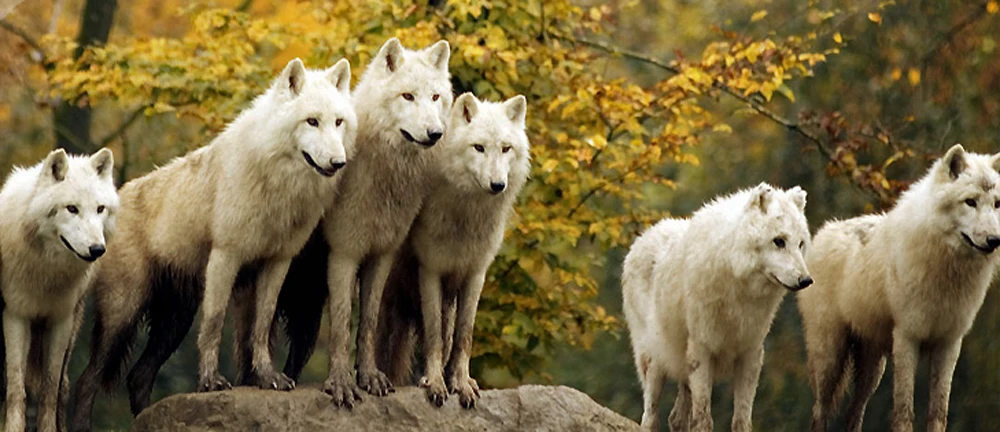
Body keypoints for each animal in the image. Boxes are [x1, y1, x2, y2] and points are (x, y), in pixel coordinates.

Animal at [0, 148, 118, 432]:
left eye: (100, 209)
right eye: (72, 208)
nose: (97, 249)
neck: (47, 271)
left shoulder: (60, 320)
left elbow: (50, 389)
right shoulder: (16, 316)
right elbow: (16, 389)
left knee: (63, 386)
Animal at [68, 58, 355, 431]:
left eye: (338, 122)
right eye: (312, 121)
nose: (338, 162)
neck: (279, 186)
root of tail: (108, 205)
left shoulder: (278, 262)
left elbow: (261, 326)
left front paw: (267, 377)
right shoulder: (225, 256)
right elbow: (215, 323)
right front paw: (209, 382)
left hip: (174, 322)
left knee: (138, 377)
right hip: (123, 316)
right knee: (88, 380)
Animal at [374, 93, 531, 409]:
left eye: (506, 148)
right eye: (479, 147)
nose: (498, 185)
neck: (467, 216)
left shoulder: (475, 274)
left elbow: (463, 338)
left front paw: (461, 383)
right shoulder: (430, 270)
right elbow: (433, 336)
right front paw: (434, 383)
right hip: (392, 300)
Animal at [622, 183, 813, 432]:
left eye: (800, 244)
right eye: (779, 241)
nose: (806, 280)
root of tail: (643, 237)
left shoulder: (750, 353)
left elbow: (742, 420)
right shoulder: (702, 351)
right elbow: (703, 419)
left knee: (676, 418)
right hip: (655, 361)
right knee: (650, 417)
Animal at [798, 144, 1000, 432]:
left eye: (997, 204)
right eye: (970, 202)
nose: (994, 240)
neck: (947, 270)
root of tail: (824, 231)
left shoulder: (949, 344)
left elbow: (938, 413)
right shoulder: (907, 338)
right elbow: (904, 412)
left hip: (872, 369)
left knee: (853, 413)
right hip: (830, 359)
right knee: (820, 412)